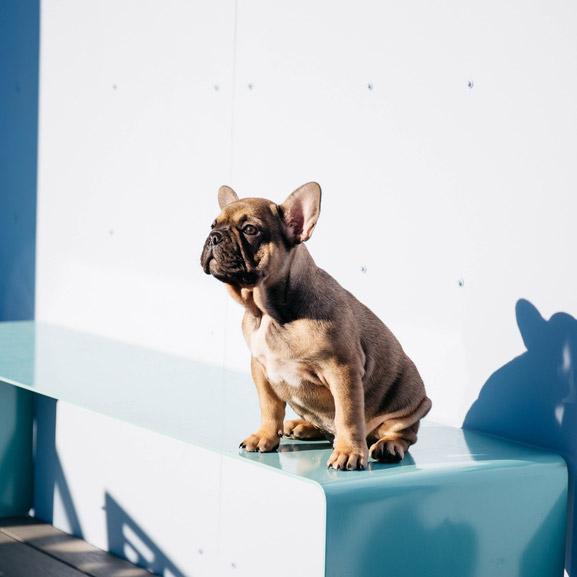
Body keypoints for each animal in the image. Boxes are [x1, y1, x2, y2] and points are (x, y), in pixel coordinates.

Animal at [201, 182, 431, 470]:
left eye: (250, 230)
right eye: (212, 225)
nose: (213, 237)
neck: (270, 314)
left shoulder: (342, 369)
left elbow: (348, 415)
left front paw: (348, 452)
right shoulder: (261, 369)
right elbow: (269, 407)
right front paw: (265, 435)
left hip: (410, 403)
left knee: (403, 433)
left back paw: (388, 445)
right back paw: (302, 426)